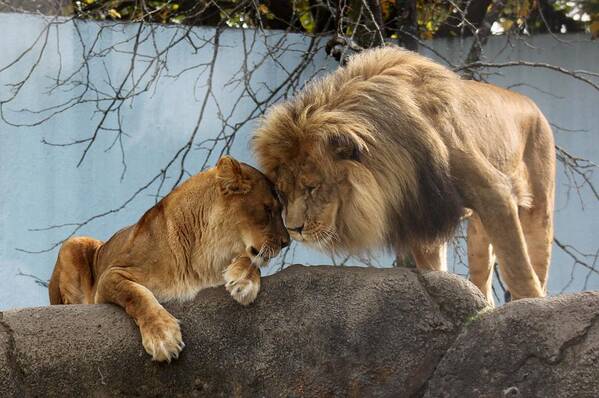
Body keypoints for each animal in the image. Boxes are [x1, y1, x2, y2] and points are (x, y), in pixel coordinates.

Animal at [47, 156, 290, 360]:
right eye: (268, 210)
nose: (286, 241)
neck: (208, 252)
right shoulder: (111, 276)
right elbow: (137, 294)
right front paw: (162, 336)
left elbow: (251, 260)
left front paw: (243, 280)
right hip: (75, 242)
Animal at [252, 45, 552, 304]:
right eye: (282, 192)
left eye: (312, 187)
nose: (294, 229)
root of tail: (531, 103)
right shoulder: (421, 211)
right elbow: (435, 270)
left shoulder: (493, 192)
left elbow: (516, 265)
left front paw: (531, 307)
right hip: (478, 231)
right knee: (482, 274)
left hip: (538, 207)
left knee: (536, 262)